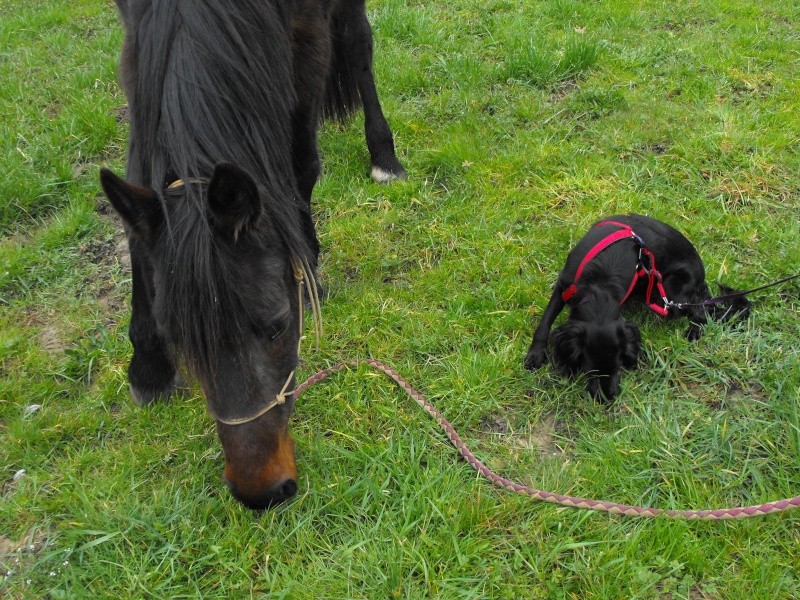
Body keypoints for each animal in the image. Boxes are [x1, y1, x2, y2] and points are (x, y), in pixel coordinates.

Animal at [103, 0, 406, 508]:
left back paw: (384, 156)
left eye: (280, 325)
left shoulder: (307, 38)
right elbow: (137, 204)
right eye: (180, 337)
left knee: (359, 43)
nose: (260, 491)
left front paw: (308, 268)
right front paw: (148, 366)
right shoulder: (136, 44)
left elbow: (301, 163)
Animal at [524, 213, 752, 400]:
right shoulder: (564, 285)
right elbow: (545, 322)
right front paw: (535, 355)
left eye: (618, 365)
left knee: (701, 311)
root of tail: (701, 273)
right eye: (590, 369)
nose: (609, 397)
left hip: (671, 289)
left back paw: (693, 332)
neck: (600, 285)